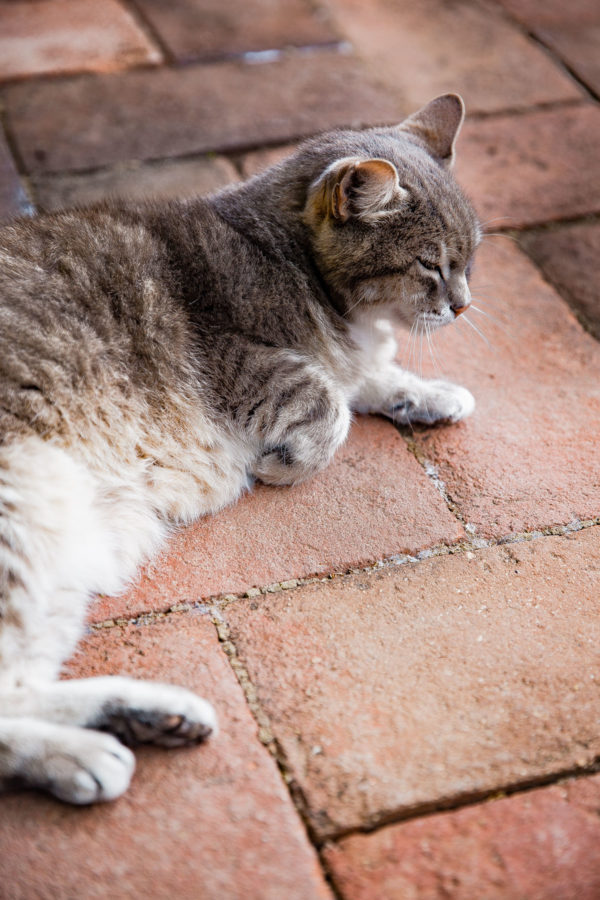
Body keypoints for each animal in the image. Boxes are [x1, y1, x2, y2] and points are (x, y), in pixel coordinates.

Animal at [0, 95, 478, 804]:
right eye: (430, 263)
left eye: (470, 259)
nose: (464, 306)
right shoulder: (238, 358)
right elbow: (327, 405)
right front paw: (283, 462)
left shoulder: (344, 356)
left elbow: (364, 378)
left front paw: (428, 393)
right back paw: (79, 755)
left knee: (21, 688)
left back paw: (147, 714)